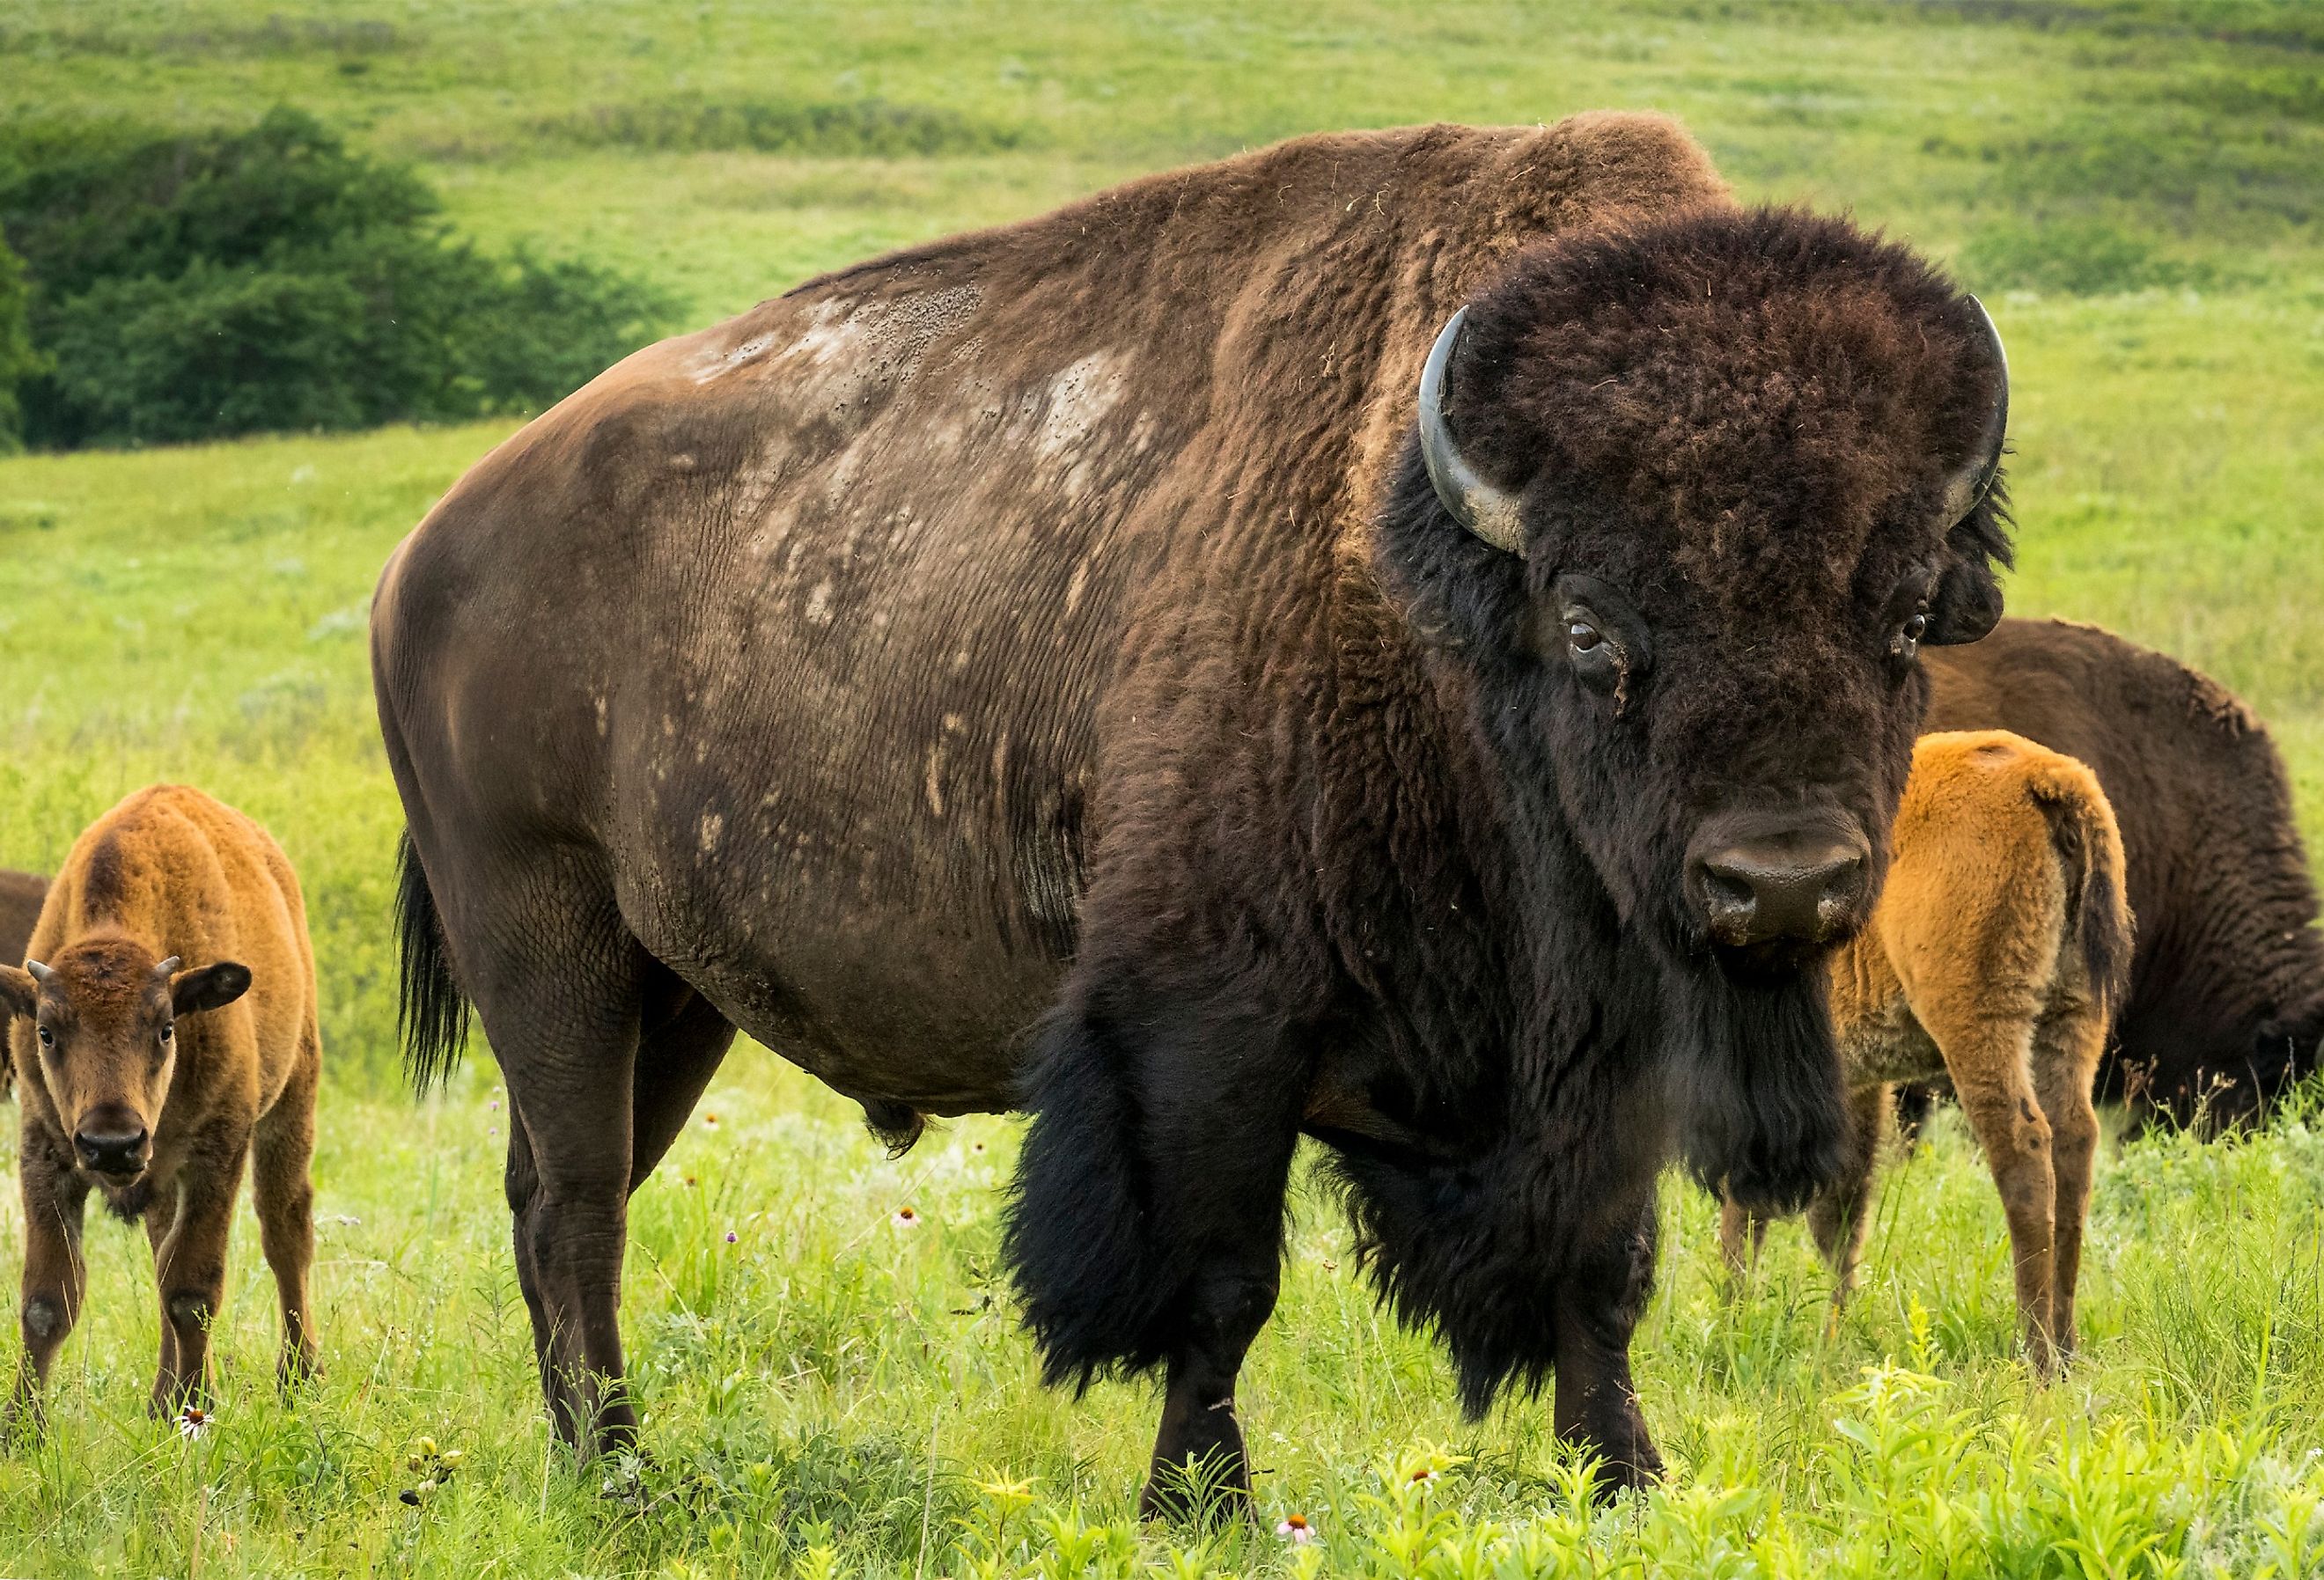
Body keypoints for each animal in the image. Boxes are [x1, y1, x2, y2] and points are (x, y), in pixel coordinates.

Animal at [0, 785, 320, 1422]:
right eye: (45, 1032)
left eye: (166, 1028)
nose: (112, 1143)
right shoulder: (45, 1151)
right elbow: (48, 1299)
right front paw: (22, 1427)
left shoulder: (218, 1153)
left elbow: (191, 1291)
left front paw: (195, 1409)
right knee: (161, 1245)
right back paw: (163, 1397)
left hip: (291, 1101)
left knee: (285, 1231)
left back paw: (298, 1379)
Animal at [371, 114, 2007, 1505]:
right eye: (1592, 623)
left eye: (1906, 618)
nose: (1781, 880)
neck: (1426, 584)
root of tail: (425, 553)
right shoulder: (1209, 1031)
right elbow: (1220, 1286)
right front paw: (1196, 1504)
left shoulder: (1598, 1059)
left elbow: (1599, 1270)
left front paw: (1626, 1479)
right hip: (547, 944)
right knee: (577, 1202)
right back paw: (616, 1475)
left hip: (678, 1000)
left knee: (552, 1197)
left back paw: (593, 1461)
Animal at [1719, 729, 2129, 1366]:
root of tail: (2043, 777)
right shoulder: (1856, 1084)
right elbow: (1841, 1211)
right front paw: (1831, 1338)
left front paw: (1732, 1323)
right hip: (2070, 1017)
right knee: (2075, 1141)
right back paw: (2066, 1351)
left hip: (1979, 1022)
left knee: (2022, 1148)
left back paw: (2035, 1356)